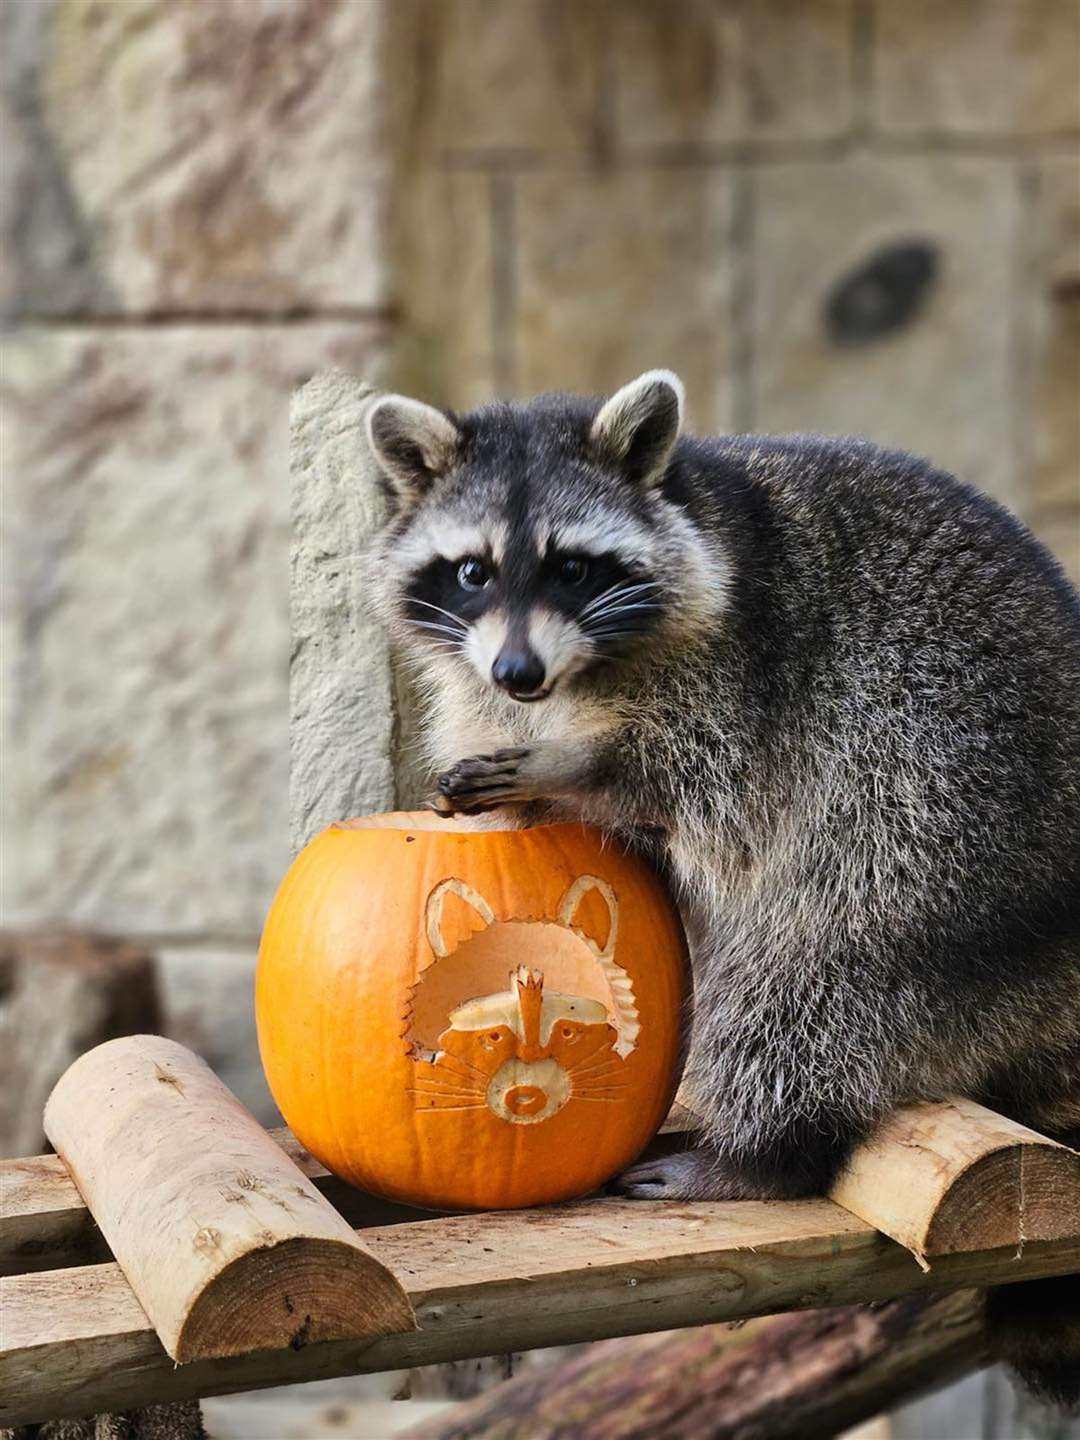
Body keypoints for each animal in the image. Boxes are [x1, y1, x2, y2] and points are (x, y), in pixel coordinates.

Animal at [365, 371, 1080, 1405]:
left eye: (572, 569)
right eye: (470, 572)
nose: (518, 671)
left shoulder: (752, 673)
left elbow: (700, 786)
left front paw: (574, 769)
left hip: (952, 826)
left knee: (814, 971)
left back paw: (768, 1153)